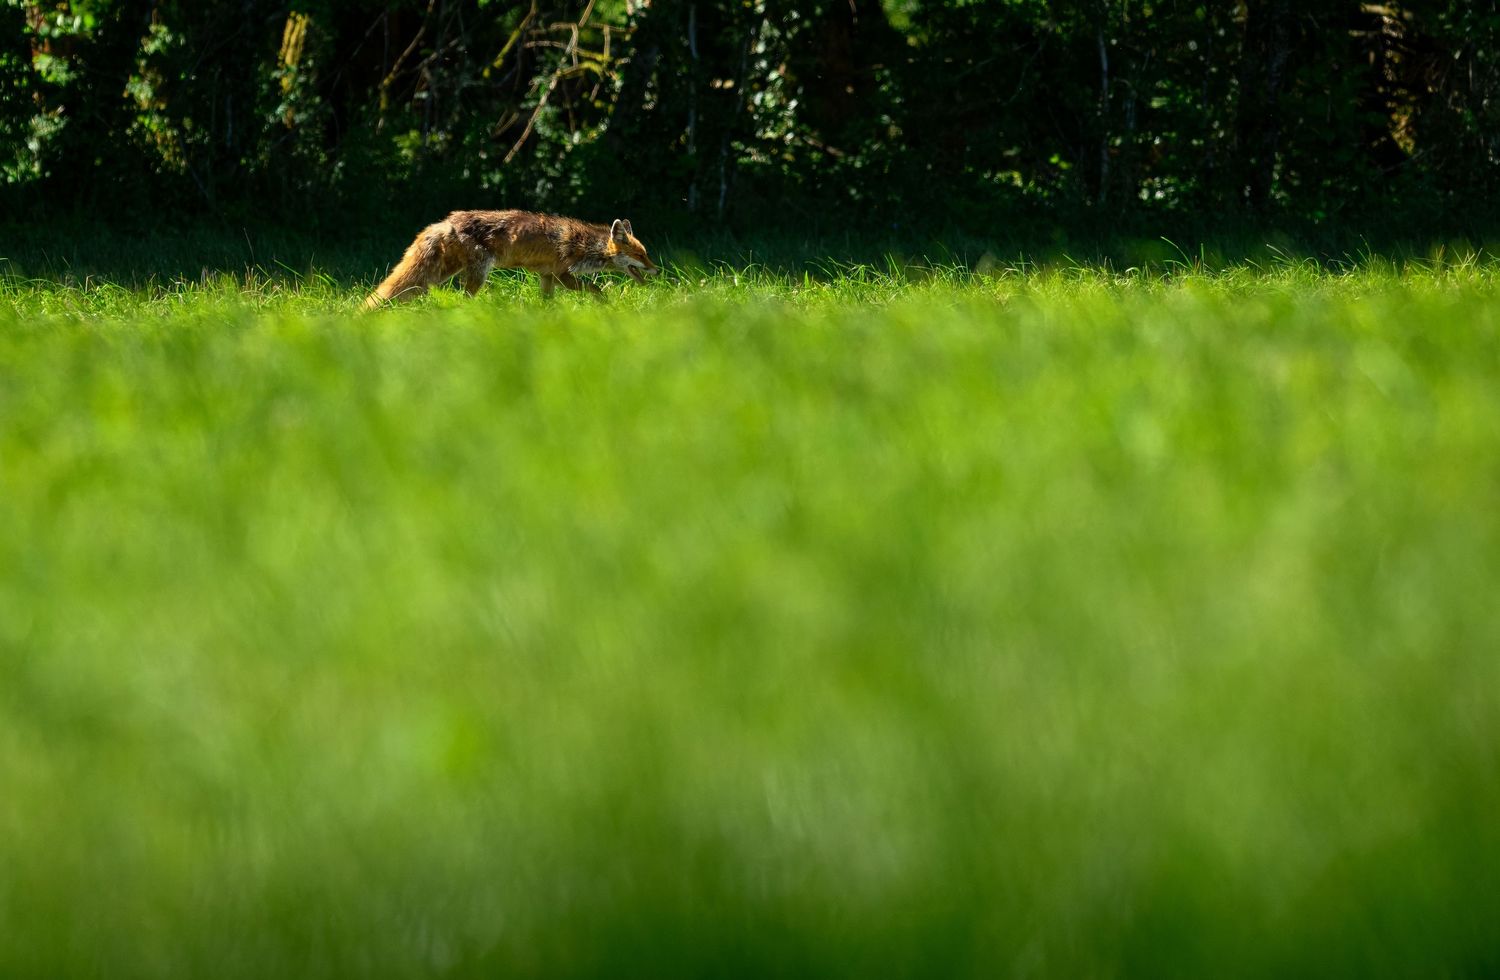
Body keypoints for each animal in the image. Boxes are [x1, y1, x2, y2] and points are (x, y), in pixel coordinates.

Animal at [363, 209, 658, 309]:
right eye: (640, 255)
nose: (656, 271)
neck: (584, 244)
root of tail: (447, 221)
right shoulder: (563, 274)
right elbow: (595, 288)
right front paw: (606, 305)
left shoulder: (547, 276)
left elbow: (547, 302)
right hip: (477, 274)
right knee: (463, 299)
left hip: (439, 276)